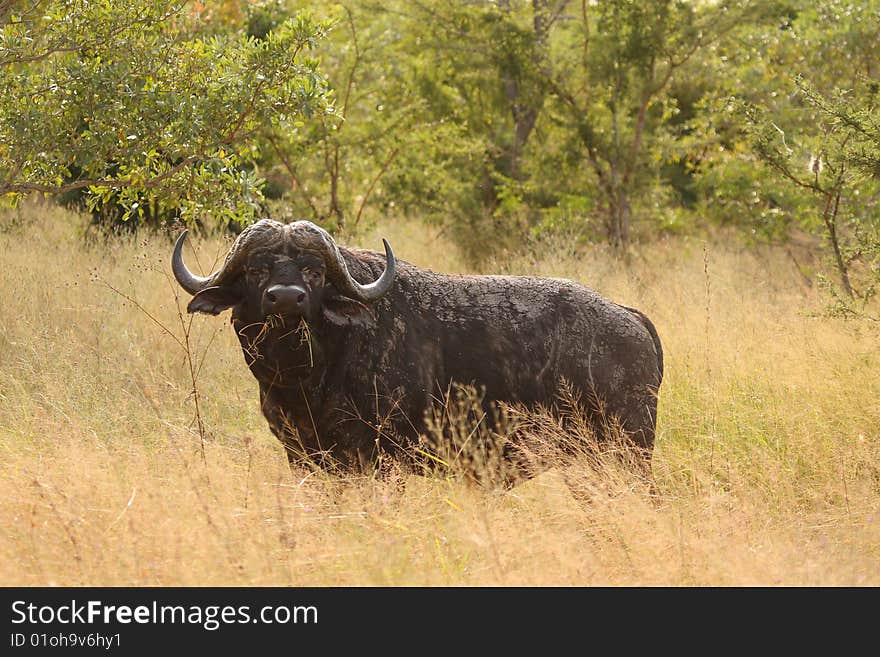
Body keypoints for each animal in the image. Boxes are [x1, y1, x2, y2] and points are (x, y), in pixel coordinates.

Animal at [172, 220, 660, 482]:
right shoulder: (304, 456)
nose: (287, 298)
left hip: (625, 455)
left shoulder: (376, 458)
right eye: (257, 270)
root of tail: (630, 317)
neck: (305, 378)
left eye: (314, 271)